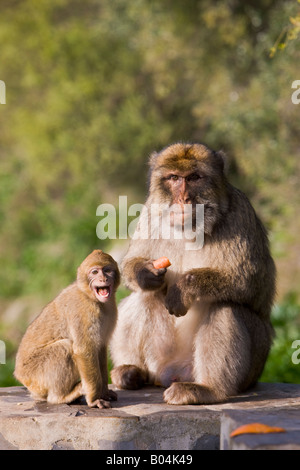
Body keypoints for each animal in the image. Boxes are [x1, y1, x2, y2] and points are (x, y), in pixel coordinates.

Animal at [14, 250, 119, 408]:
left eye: (107, 270)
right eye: (94, 272)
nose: (103, 278)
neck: (91, 297)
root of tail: (20, 376)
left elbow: (100, 348)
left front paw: (104, 392)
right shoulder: (83, 312)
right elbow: (84, 350)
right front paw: (94, 399)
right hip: (35, 376)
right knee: (64, 347)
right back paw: (61, 397)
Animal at [109, 142, 276, 404]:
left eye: (194, 177)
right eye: (174, 178)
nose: (183, 198)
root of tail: (174, 373)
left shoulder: (241, 213)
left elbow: (246, 280)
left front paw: (184, 287)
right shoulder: (149, 211)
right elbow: (132, 264)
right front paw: (145, 273)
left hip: (255, 360)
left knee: (225, 306)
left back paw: (210, 388)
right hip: (162, 359)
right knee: (145, 296)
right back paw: (131, 371)